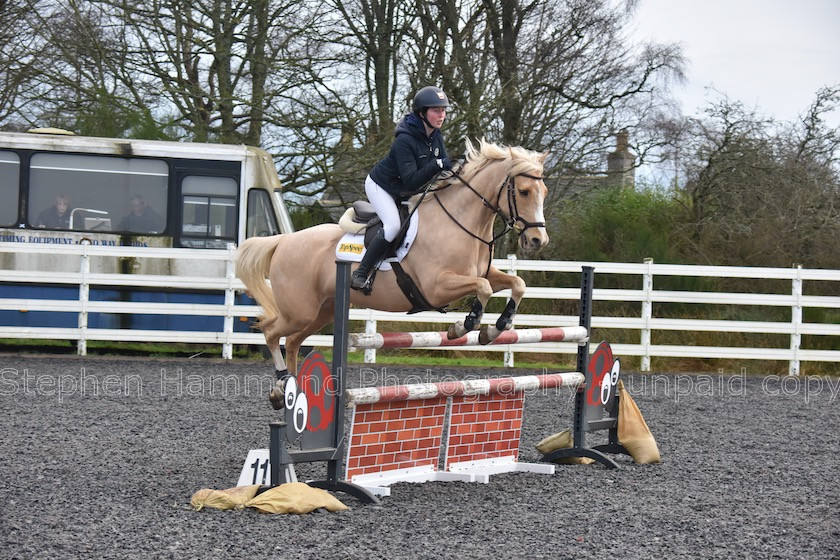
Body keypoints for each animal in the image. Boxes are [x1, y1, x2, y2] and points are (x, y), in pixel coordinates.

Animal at [236, 138, 552, 404]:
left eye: (544, 192)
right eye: (524, 191)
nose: (538, 241)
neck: (461, 221)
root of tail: (284, 240)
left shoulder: (485, 273)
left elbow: (517, 283)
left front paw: (496, 328)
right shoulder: (437, 287)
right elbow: (483, 290)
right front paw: (464, 326)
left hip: (321, 311)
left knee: (291, 342)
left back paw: (291, 390)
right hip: (299, 311)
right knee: (270, 331)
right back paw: (280, 388)